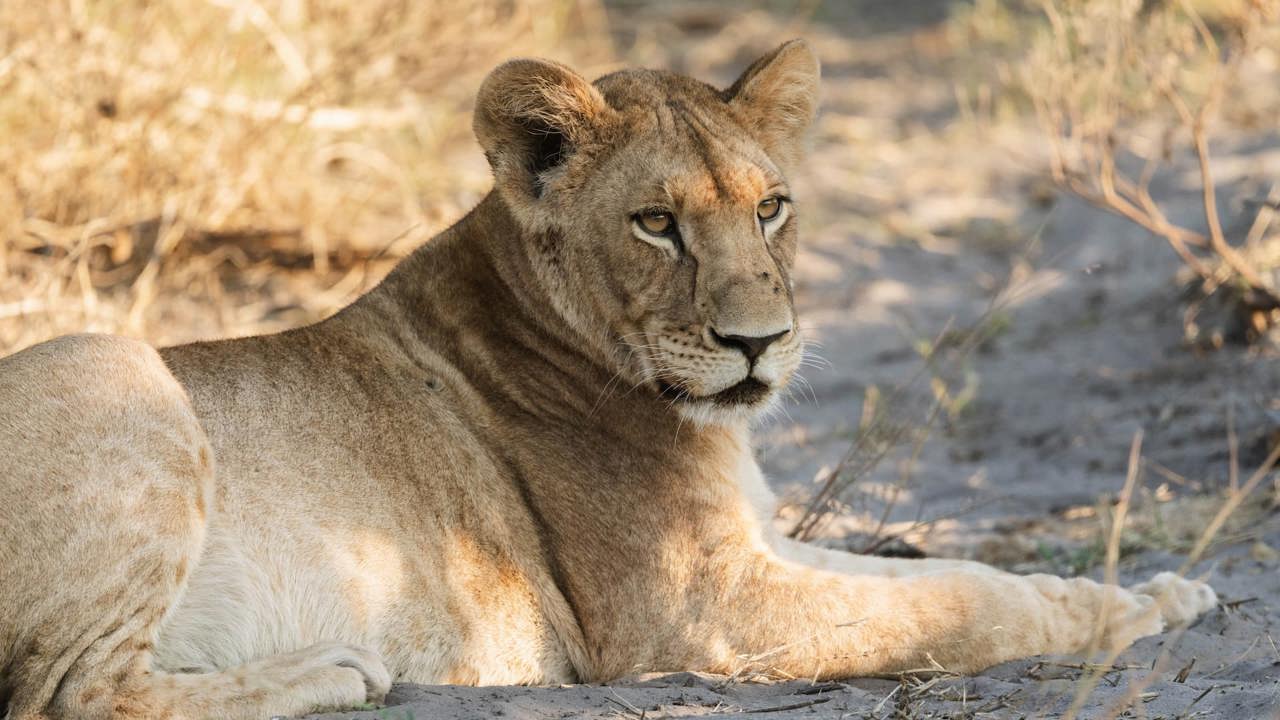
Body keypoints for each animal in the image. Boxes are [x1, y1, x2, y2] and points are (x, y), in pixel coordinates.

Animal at [0, 40, 1216, 720]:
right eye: (656, 224)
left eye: (770, 207)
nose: (760, 342)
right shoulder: (697, 612)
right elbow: (960, 607)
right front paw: (1124, 615)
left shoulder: (759, 548)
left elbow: (944, 570)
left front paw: (1151, 594)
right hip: (115, 363)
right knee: (67, 696)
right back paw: (332, 674)